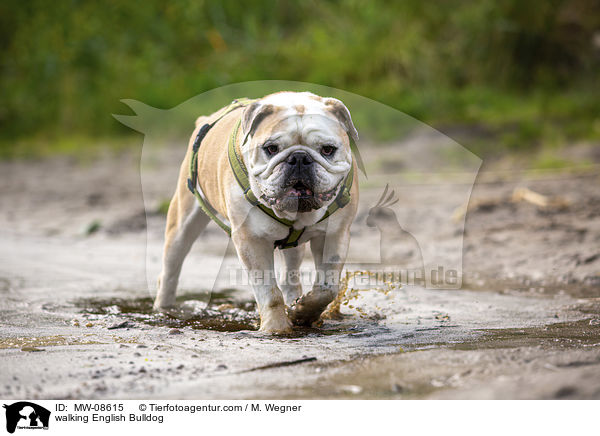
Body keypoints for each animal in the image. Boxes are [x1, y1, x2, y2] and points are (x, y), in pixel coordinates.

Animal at [156, 90, 360, 332]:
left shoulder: (335, 235)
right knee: (171, 268)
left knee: (291, 273)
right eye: (271, 148)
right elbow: (269, 292)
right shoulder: (251, 241)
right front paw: (276, 328)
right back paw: (163, 309)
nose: (299, 158)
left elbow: (326, 288)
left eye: (328, 149)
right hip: (182, 221)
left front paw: (303, 312)